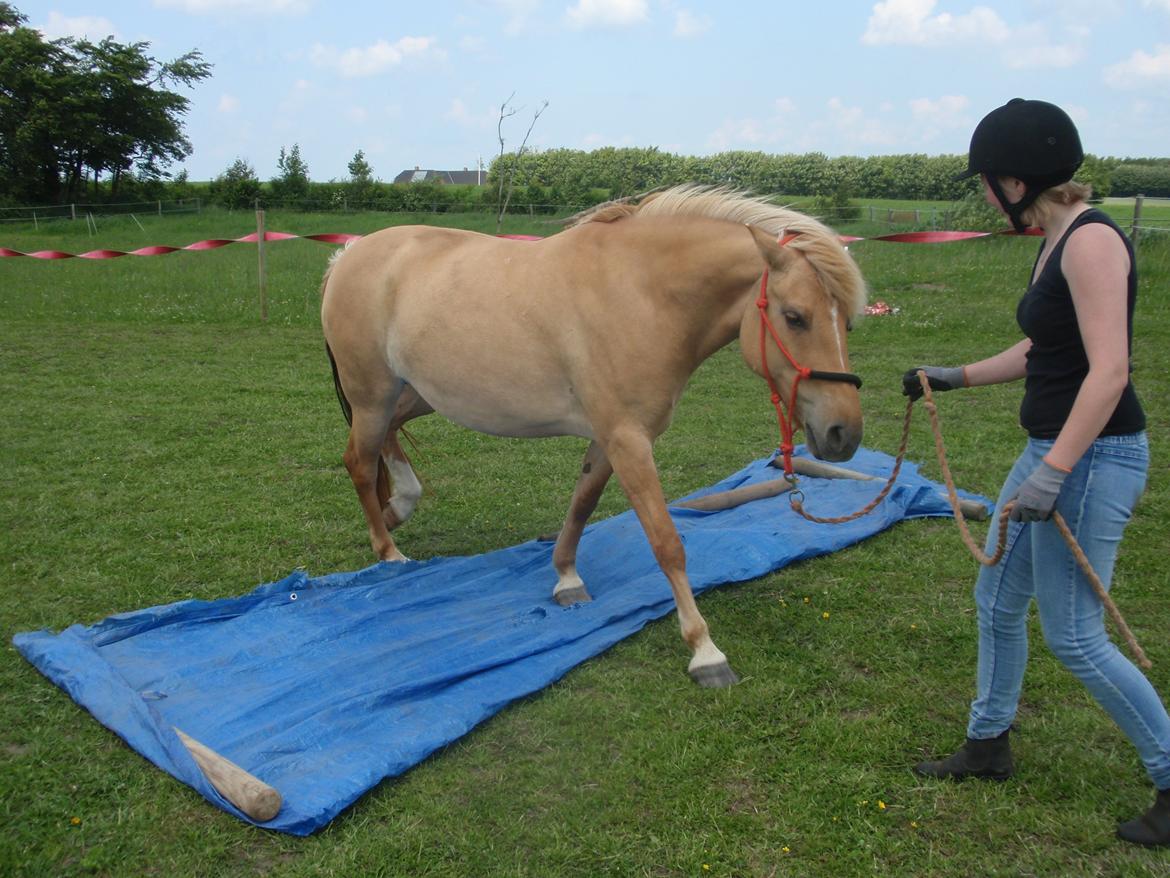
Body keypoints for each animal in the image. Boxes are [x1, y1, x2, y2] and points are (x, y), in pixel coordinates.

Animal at [320, 186, 870, 693]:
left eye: (848, 321)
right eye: (794, 316)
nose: (843, 434)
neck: (643, 295)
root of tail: (349, 255)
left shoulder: (610, 439)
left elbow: (582, 504)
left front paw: (567, 578)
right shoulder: (629, 441)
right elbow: (666, 542)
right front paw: (705, 652)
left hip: (413, 393)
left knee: (386, 442)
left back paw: (399, 507)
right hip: (374, 396)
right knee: (359, 463)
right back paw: (389, 552)